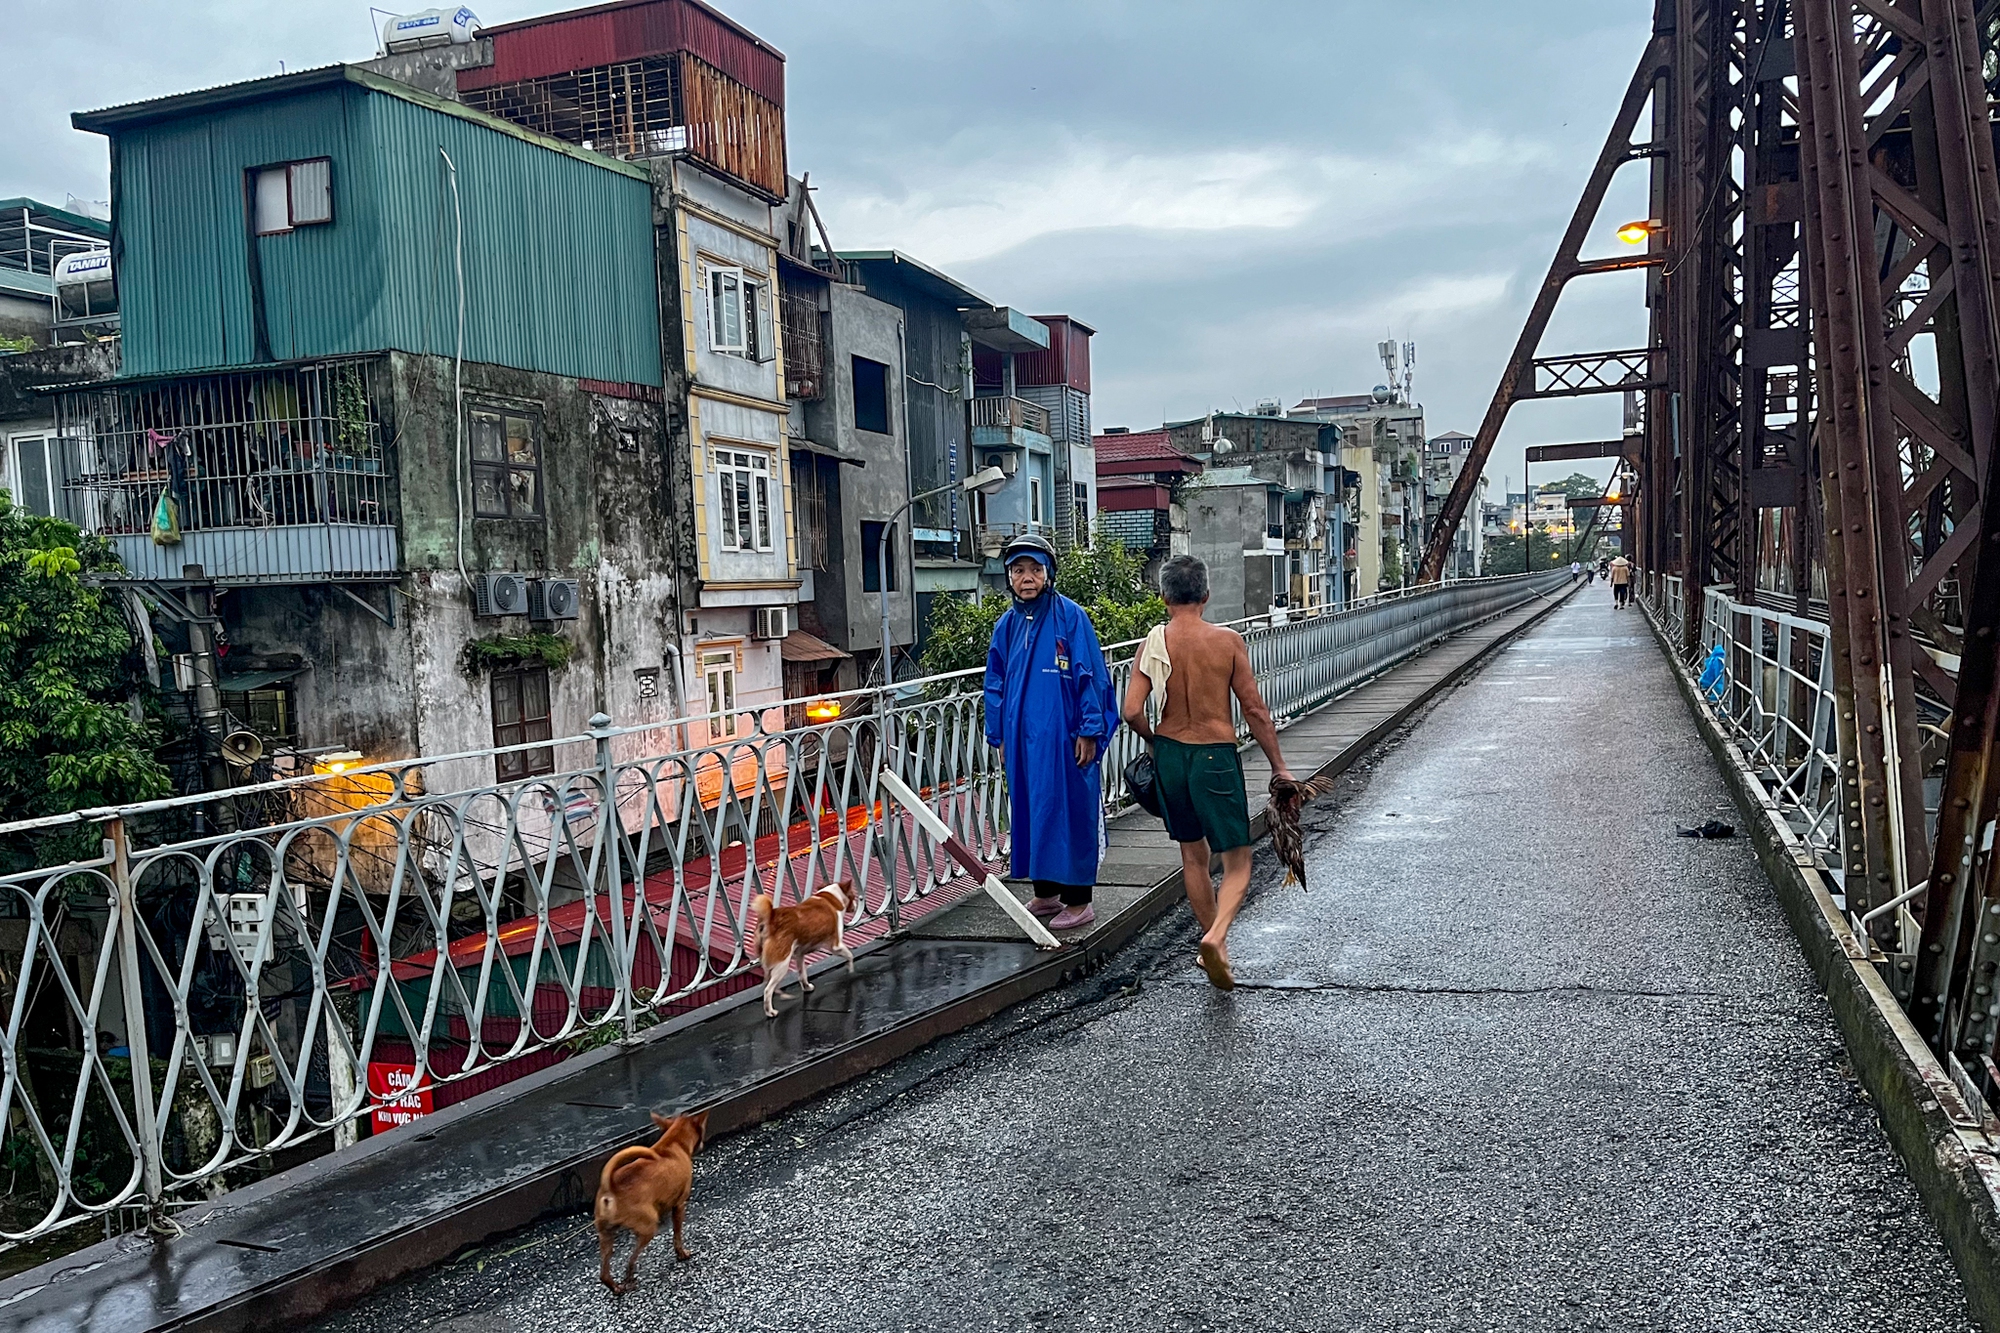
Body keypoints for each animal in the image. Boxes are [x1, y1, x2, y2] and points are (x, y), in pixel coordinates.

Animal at [592, 1104, 712, 1288]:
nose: (702, 1144)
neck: (672, 1143)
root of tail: (610, 1186)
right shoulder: (679, 1205)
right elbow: (677, 1234)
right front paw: (682, 1254)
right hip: (648, 1228)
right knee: (630, 1260)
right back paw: (629, 1279)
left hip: (606, 1235)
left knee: (604, 1274)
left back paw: (618, 1289)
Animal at [748, 876, 848, 1012]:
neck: (828, 897)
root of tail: (771, 919)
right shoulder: (835, 944)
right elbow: (848, 954)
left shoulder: (800, 953)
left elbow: (802, 974)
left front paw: (806, 987)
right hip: (782, 965)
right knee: (768, 990)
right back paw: (770, 1011)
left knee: (769, 983)